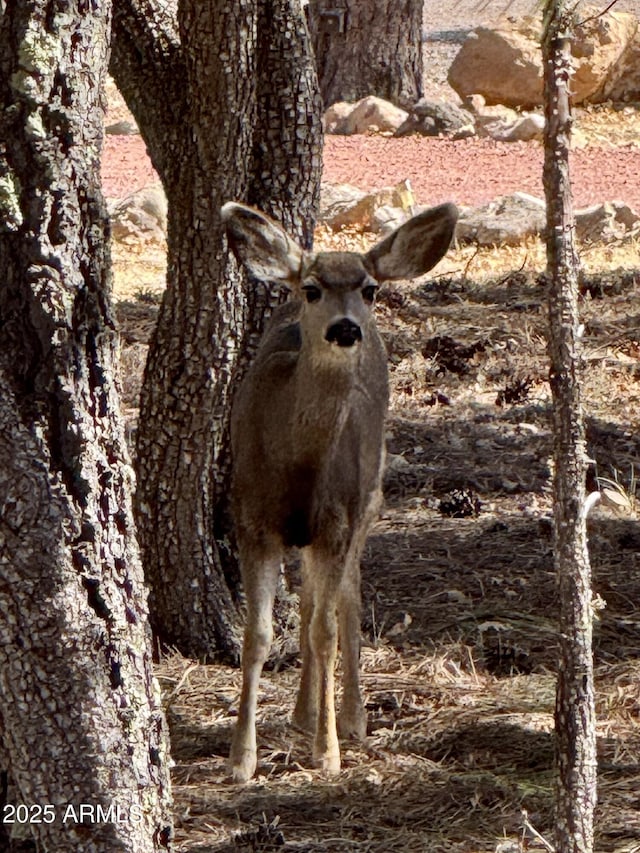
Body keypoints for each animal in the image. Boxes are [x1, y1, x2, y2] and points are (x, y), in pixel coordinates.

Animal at [222, 198, 458, 780]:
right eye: (312, 289)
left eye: (369, 289)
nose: (347, 328)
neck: (297, 465)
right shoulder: (250, 516)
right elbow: (259, 634)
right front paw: (242, 758)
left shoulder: (337, 520)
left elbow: (325, 629)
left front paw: (327, 752)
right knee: (311, 600)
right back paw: (304, 712)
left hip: (368, 497)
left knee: (346, 597)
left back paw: (350, 716)